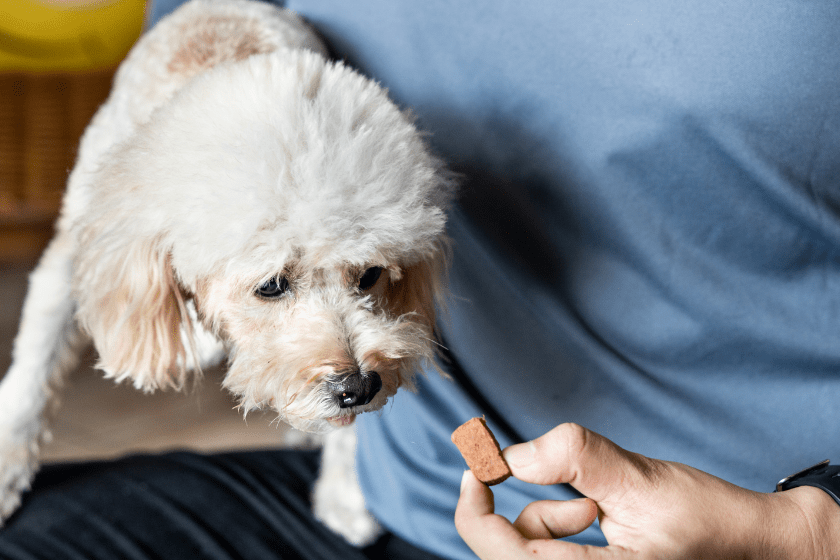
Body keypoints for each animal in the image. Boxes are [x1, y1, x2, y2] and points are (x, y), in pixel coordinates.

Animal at [0, 0, 452, 544]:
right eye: (272, 286)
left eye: (369, 276)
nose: (358, 388)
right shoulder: (79, 250)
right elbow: (35, 366)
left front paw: (346, 489)